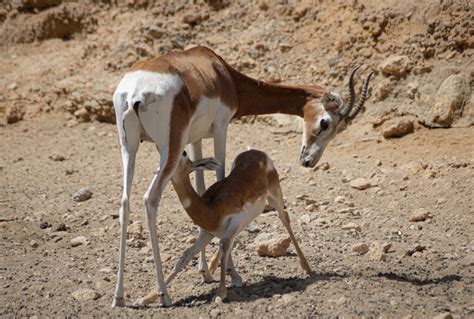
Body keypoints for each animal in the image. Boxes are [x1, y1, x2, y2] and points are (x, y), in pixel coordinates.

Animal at [135, 150, 310, 304]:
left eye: (183, 153)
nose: (162, 167)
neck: (210, 208)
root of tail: (256, 152)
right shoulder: (208, 233)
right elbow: (185, 256)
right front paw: (146, 298)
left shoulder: (229, 230)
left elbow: (224, 250)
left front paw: (220, 294)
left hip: (275, 196)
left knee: (284, 217)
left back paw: (306, 267)